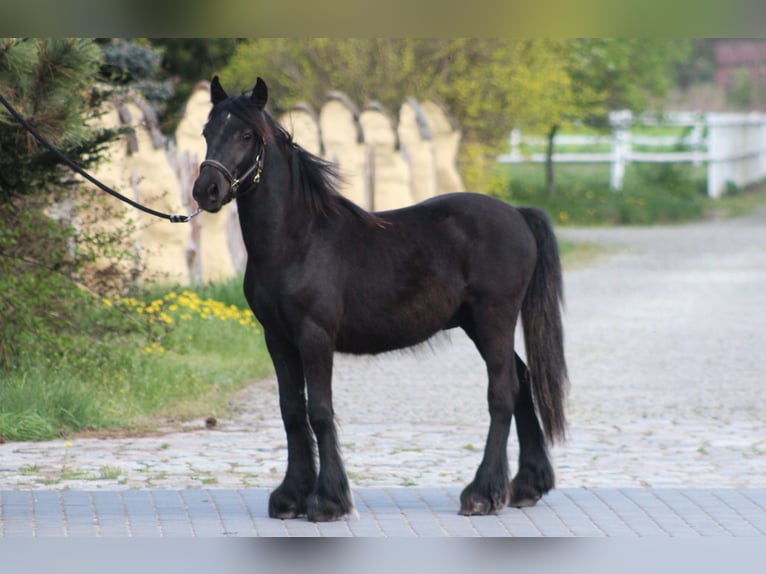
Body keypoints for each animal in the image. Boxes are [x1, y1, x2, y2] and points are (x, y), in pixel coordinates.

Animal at [192, 77, 568, 528]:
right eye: (207, 132)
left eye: (247, 135)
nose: (206, 191)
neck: (298, 240)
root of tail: (516, 214)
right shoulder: (278, 339)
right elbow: (291, 411)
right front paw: (291, 496)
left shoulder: (315, 337)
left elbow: (319, 411)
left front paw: (328, 500)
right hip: (477, 325)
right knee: (523, 380)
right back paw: (526, 486)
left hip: (494, 319)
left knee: (503, 392)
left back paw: (483, 493)